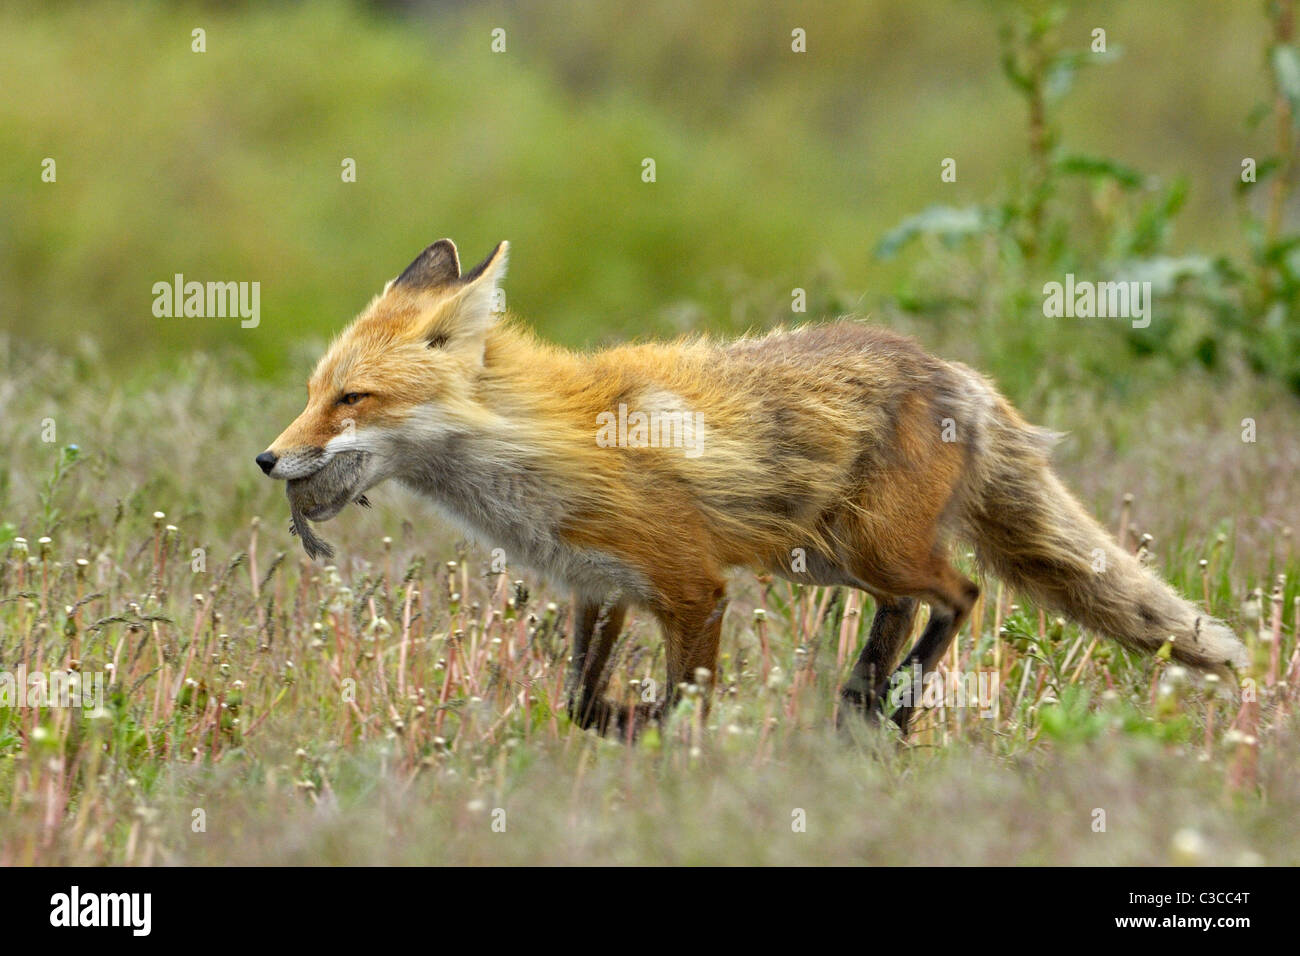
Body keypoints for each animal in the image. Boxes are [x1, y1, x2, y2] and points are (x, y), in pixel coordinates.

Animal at [256, 239, 1248, 733]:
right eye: (312, 392)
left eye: (351, 399)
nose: (266, 461)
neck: (538, 449)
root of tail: (956, 371)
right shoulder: (600, 587)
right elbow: (579, 705)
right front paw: (623, 722)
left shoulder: (694, 587)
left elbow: (685, 699)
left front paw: (675, 742)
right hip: (827, 559)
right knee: (905, 609)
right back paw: (859, 706)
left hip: (870, 547)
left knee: (959, 595)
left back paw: (894, 710)